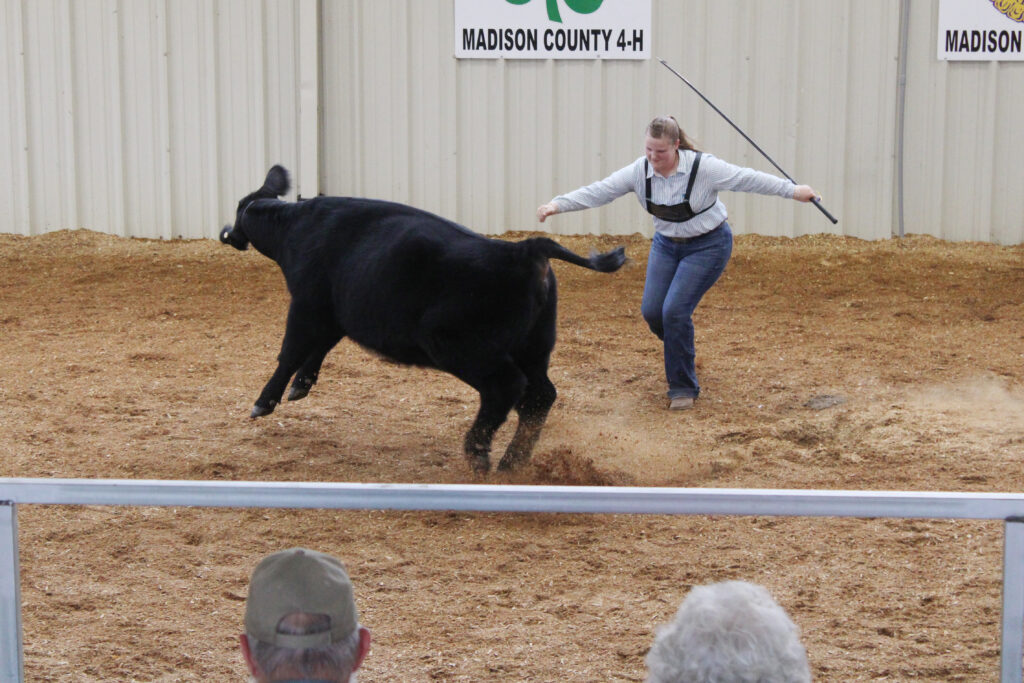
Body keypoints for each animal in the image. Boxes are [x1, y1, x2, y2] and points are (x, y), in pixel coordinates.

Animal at [220, 165, 626, 473]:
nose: (231, 235)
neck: (297, 226)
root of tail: (526, 249)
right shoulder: (334, 315)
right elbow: (317, 351)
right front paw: (300, 385)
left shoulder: (306, 306)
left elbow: (290, 352)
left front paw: (264, 402)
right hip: (534, 348)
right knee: (539, 396)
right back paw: (511, 462)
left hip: (457, 346)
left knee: (507, 387)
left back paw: (477, 452)